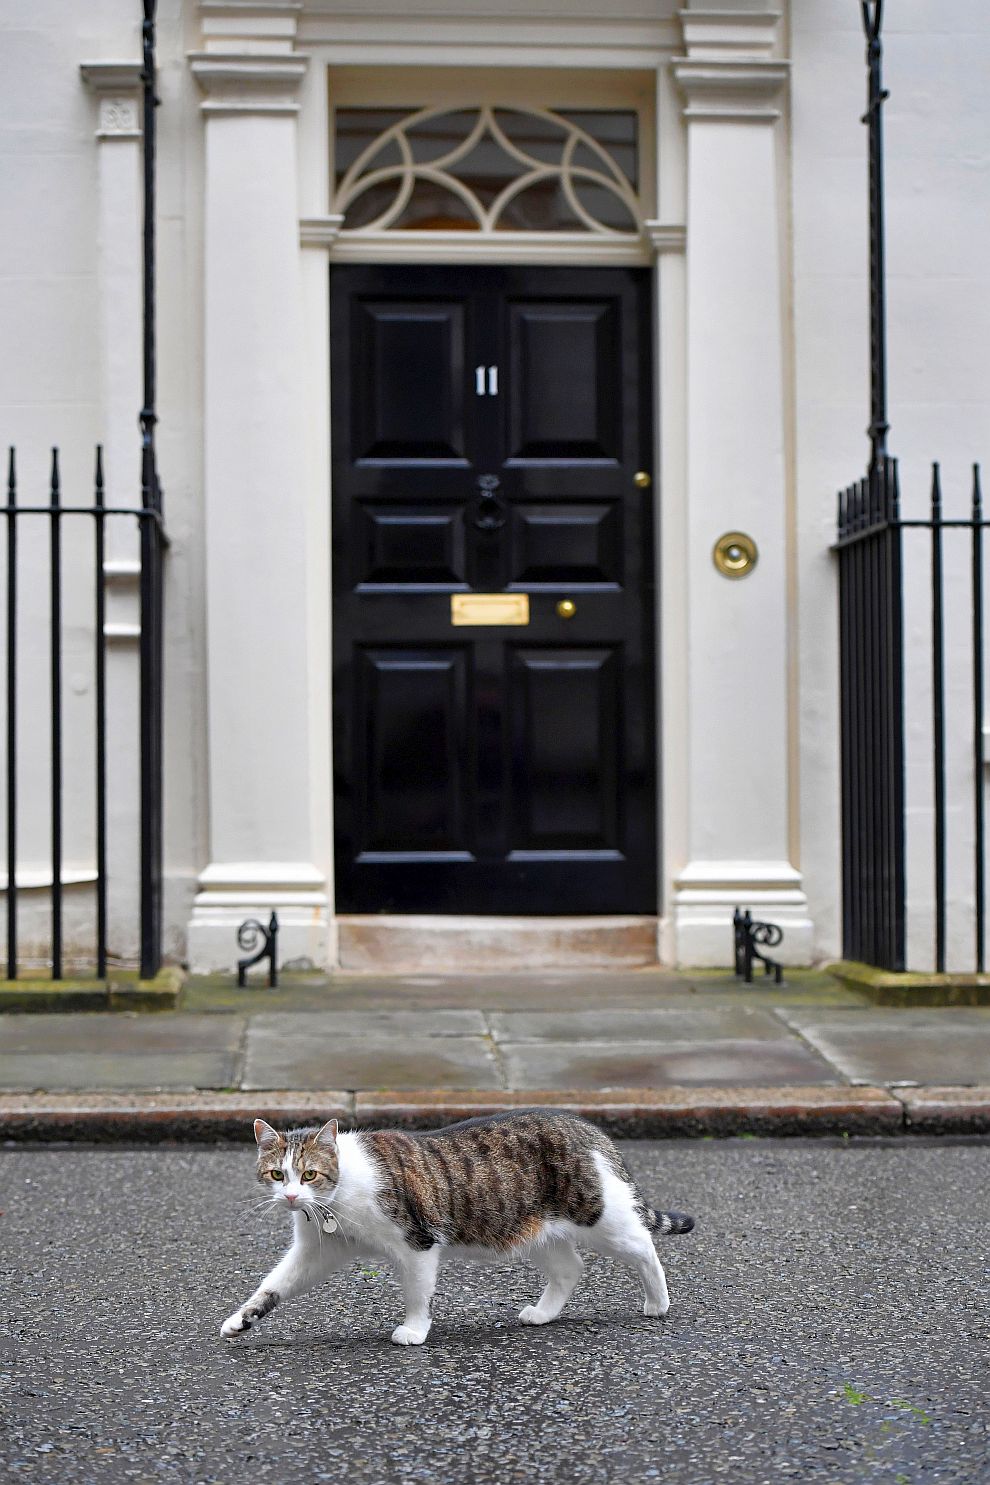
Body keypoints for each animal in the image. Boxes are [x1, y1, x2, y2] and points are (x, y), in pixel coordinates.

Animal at [221, 1116, 694, 1348]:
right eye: (277, 1174)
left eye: (310, 1174)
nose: (291, 1197)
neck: (334, 1202)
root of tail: (588, 1128)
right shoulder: (318, 1251)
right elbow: (274, 1285)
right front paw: (242, 1320)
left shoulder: (417, 1244)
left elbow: (417, 1294)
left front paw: (413, 1331)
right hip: (530, 1228)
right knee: (569, 1267)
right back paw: (543, 1313)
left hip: (600, 1217)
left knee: (643, 1245)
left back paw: (658, 1302)